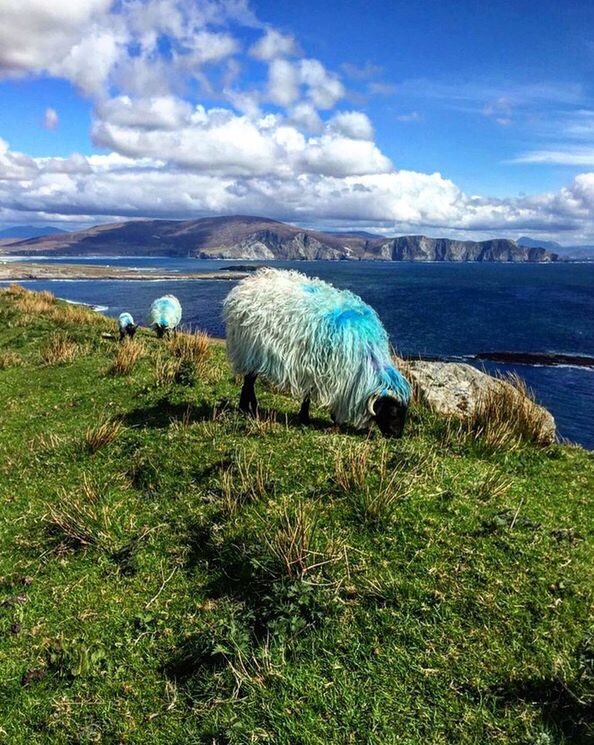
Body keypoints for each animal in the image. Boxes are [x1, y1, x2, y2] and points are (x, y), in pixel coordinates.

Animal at [222, 268, 412, 436]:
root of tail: (247, 284)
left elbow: (308, 395)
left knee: (248, 380)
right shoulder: (325, 370)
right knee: (248, 381)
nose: (397, 435)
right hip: (248, 351)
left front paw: (308, 417)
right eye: (393, 412)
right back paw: (249, 408)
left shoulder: (317, 368)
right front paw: (325, 420)